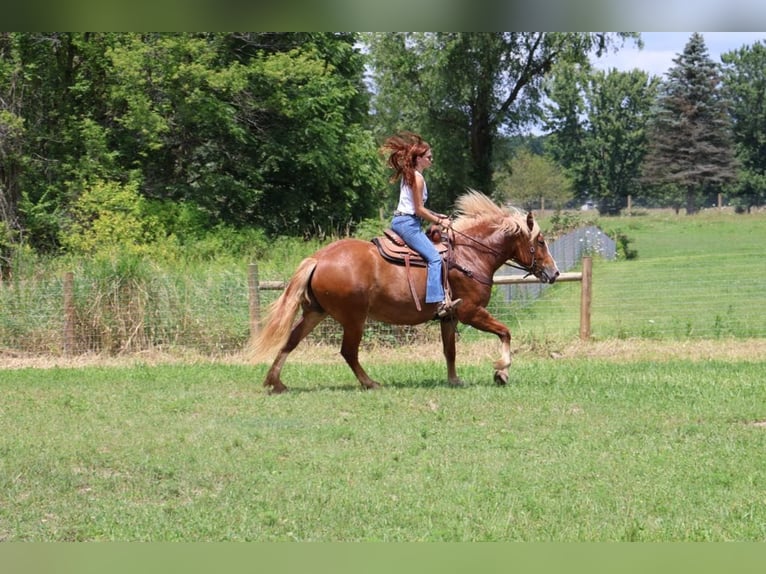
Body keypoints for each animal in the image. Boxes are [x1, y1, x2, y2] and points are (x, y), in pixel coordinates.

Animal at [250, 190, 560, 393]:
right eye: (540, 242)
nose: (554, 272)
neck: (470, 255)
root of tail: (318, 258)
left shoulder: (449, 317)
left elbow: (450, 351)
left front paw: (454, 380)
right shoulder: (470, 312)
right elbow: (505, 332)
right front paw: (501, 370)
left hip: (316, 312)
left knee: (291, 341)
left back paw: (275, 382)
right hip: (353, 318)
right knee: (348, 351)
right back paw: (370, 383)